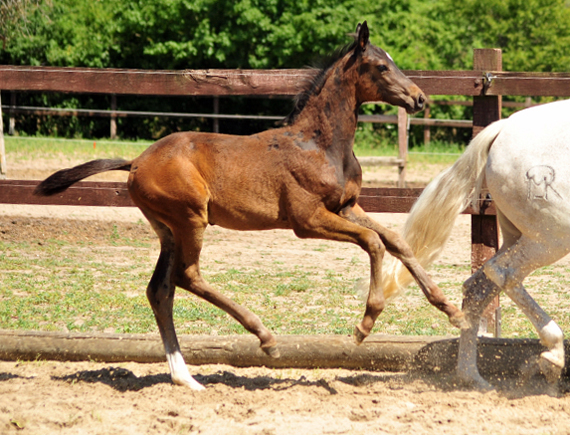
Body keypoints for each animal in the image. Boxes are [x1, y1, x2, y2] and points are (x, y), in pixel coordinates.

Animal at [34, 23, 462, 392]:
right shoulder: (308, 220)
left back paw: (185, 378)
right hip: (191, 219)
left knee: (160, 290)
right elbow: (373, 242)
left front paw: (451, 309)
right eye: (381, 65)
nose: (419, 98)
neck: (320, 144)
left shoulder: (345, 207)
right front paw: (364, 325)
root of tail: (136, 162)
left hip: (167, 229)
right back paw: (266, 338)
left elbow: (395, 240)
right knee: (187, 277)